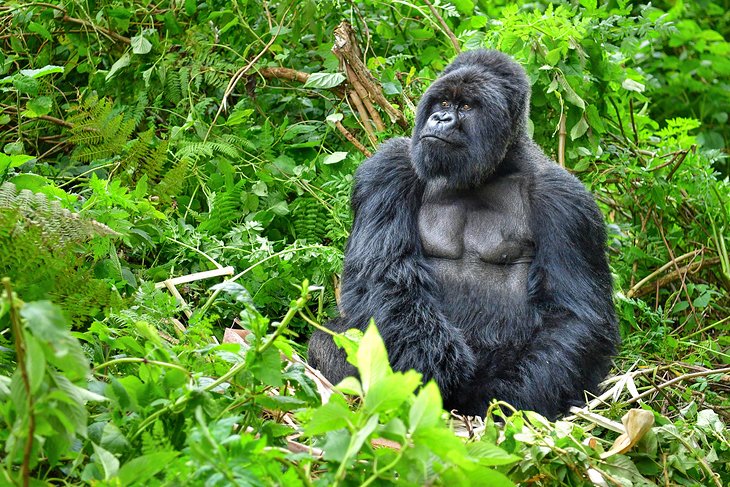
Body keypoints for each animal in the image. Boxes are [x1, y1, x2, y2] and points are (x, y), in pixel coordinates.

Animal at [304, 51, 616, 422]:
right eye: (442, 102)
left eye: (466, 106)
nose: (441, 118)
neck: (493, 170)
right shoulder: (389, 167)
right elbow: (383, 274)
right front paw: (434, 364)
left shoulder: (566, 201)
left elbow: (575, 316)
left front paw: (501, 398)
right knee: (329, 341)